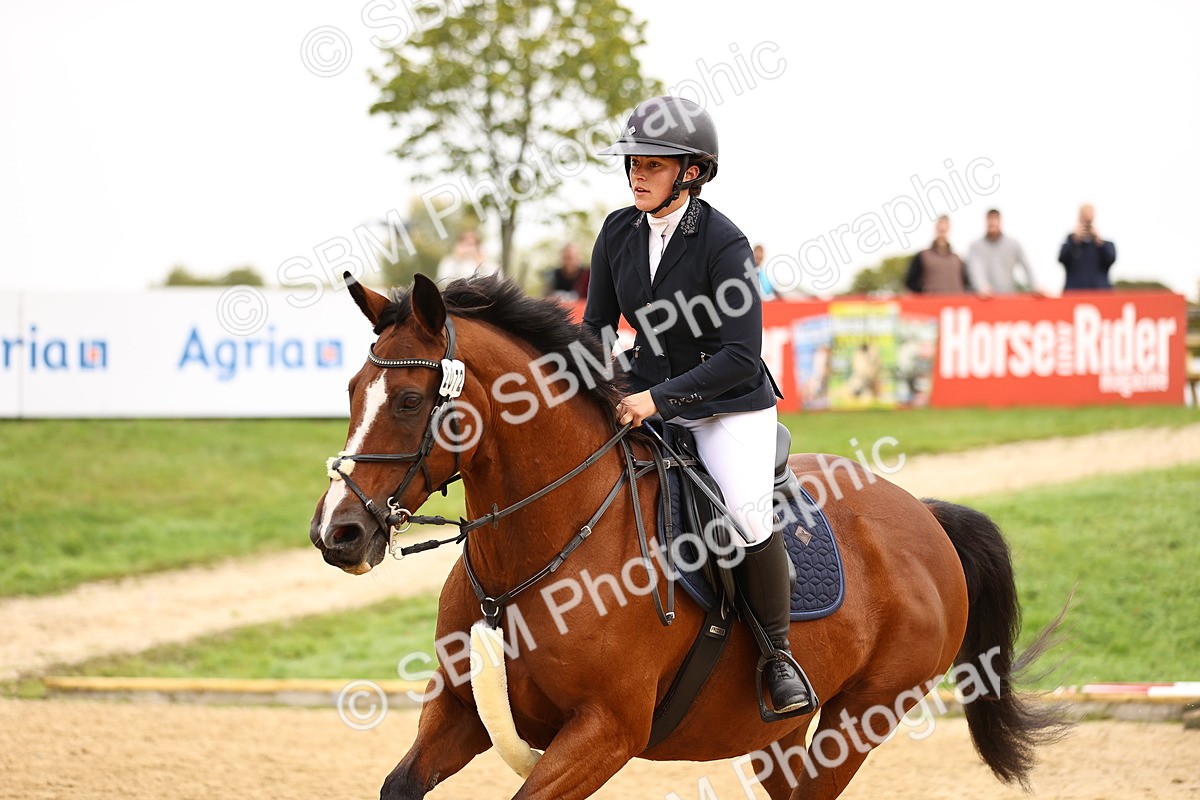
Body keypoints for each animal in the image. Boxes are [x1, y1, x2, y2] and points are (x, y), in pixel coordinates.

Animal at [309, 273, 1067, 800]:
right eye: (349, 391)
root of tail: (925, 517)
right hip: (774, 733)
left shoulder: (605, 731)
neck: (536, 554)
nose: (336, 533)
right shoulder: (459, 711)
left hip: (861, 717)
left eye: (410, 401)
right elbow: (400, 785)